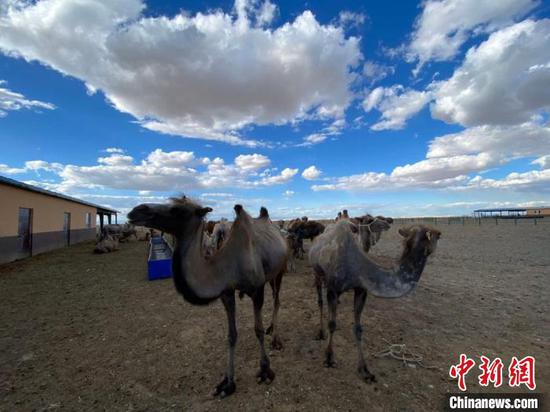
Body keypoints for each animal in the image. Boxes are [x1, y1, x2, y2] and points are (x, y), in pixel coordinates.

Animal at [126, 198, 286, 398]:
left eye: (177, 210)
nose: (136, 210)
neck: (227, 265)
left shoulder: (257, 290)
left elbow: (258, 330)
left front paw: (265, 371)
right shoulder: (226, 293)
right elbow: (231, 335)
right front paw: (228, 383)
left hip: (279, 271)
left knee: (277, 299)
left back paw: (276, 339)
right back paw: (272, 330)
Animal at [310, 222, 444, 384]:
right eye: (437, 235)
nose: (441, 232)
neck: (356, 266)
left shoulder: (361, 290)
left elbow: (358, 329)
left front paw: (365, 370)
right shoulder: (333, 289)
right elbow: (332, 324)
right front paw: (329, 358)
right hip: (317, 273)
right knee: (320, 301)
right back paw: (320, 332)